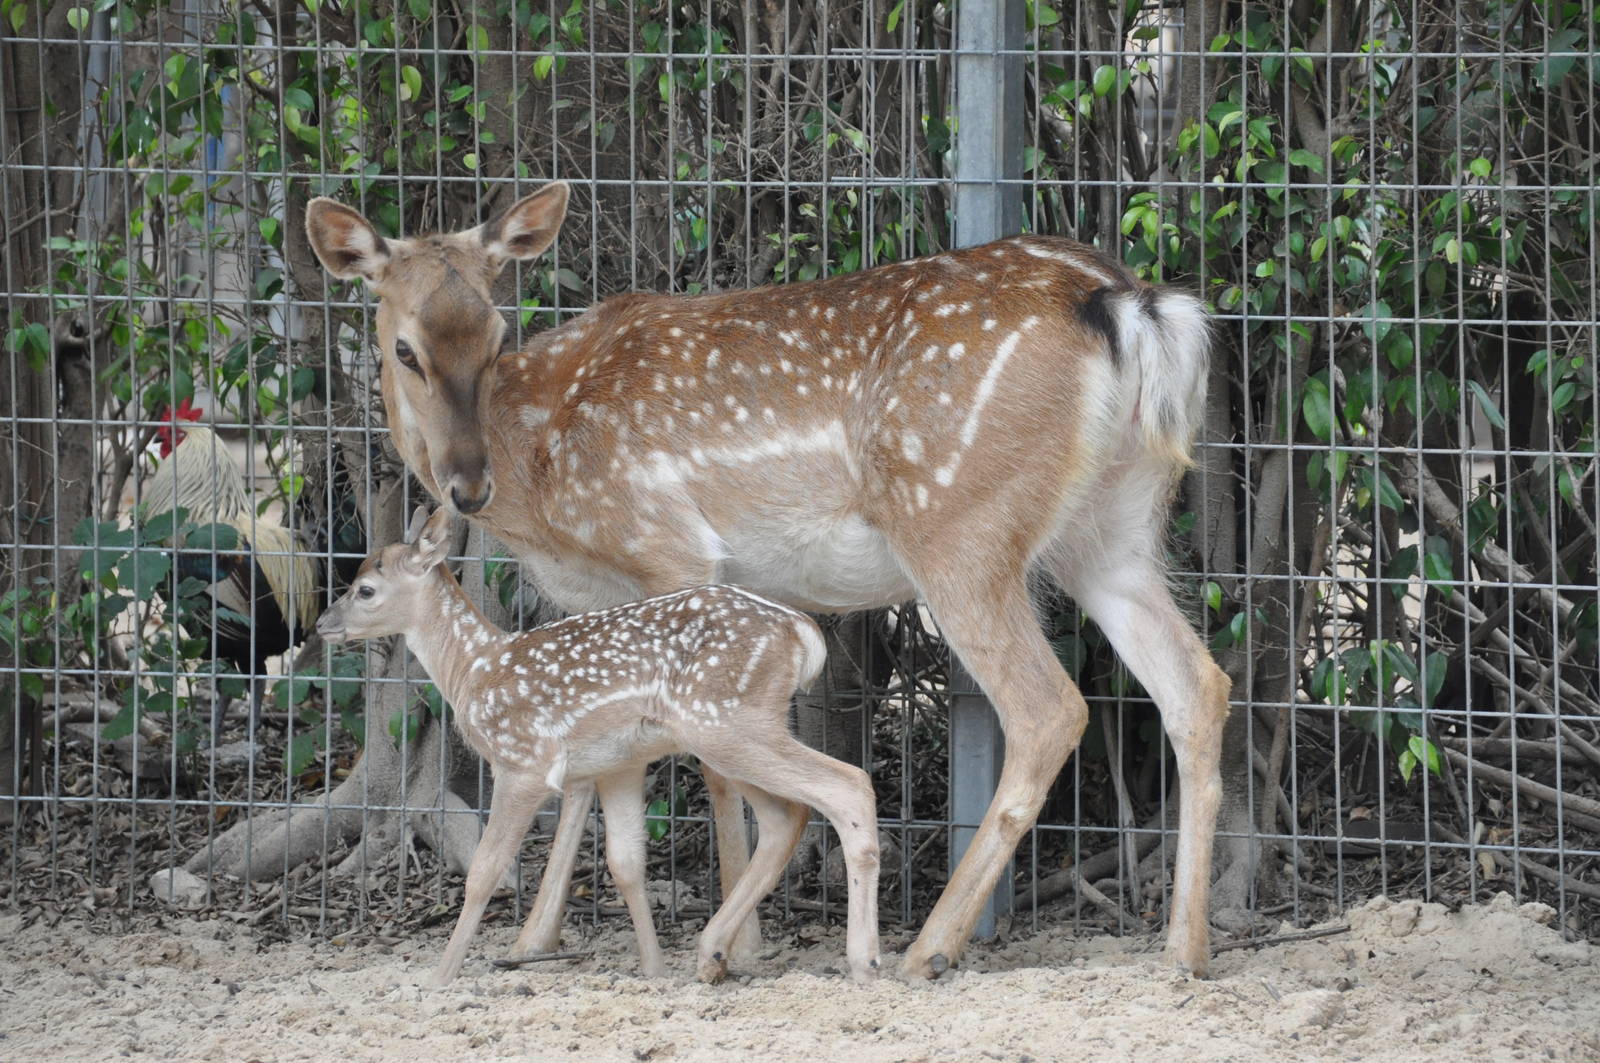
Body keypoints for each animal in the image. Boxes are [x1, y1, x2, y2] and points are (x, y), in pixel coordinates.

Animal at [315, 505, 882, 987]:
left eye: (365, 589)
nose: (323, 624)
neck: (475, 671)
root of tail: (805, 633)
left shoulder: (522, 761)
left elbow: (484, 870)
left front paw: (439, 978)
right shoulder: (616, 765)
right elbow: (625, 864)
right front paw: (654, 970)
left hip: (726, 723)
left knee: (848, 784)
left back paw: (864, 961)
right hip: (736, 729)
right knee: (786, 816)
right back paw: (712, 953)